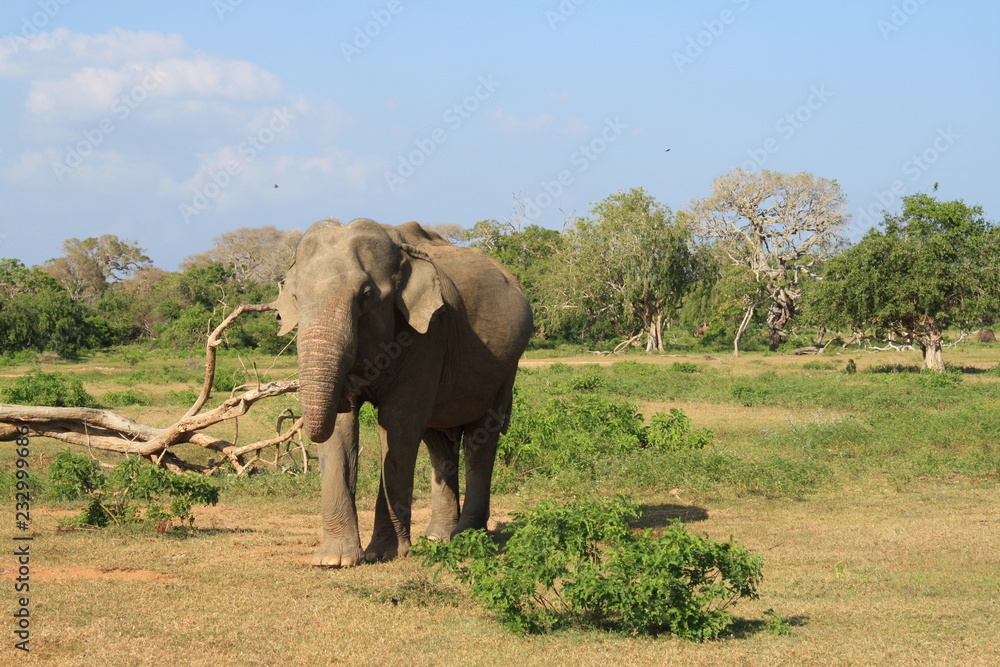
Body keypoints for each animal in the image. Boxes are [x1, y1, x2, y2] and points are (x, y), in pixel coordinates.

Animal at [274, 218, 533, 567]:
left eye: (366, 295)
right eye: (296, 296)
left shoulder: (427, 334)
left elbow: (398, 426)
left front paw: (385, 554)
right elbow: (342, 430)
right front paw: (333, 561)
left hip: (505, 370)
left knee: (482, 436)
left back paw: (466, 537)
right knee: (439, 440)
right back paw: (438, 537)